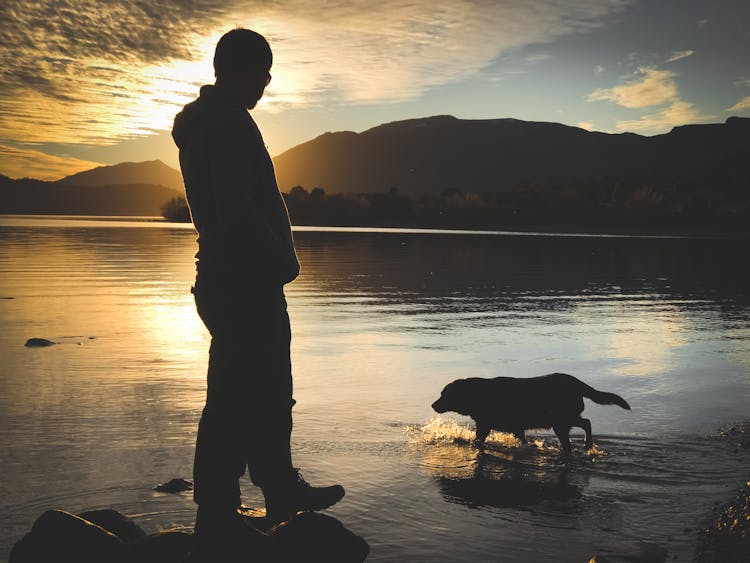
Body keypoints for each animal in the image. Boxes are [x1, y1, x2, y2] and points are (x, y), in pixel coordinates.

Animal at [432, 374, 632, 454]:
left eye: (444, 395)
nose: (433, 405)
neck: (477, 394)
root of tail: (576, 382)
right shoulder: (516, 427)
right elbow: (522, 440)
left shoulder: (485, 425)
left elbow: (478, 439)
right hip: (563, 420)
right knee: (583, 425)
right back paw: (586, 445)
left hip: (561, 421)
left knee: (586, 424)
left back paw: (587, 444)